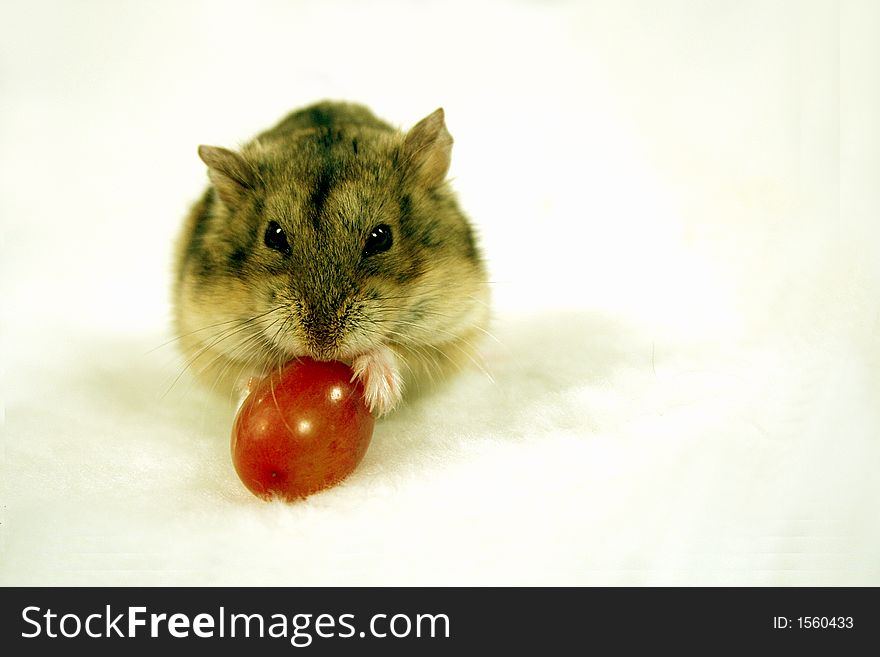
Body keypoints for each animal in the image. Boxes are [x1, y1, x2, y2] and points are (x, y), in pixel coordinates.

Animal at [172, 99, 488, 412]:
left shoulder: (453, 332)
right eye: (273, 236)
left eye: (381, 237)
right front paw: (252, 391)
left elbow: (400, 352)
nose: (322, 348)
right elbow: (244, 370)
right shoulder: (205, 339)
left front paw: (378, 390)